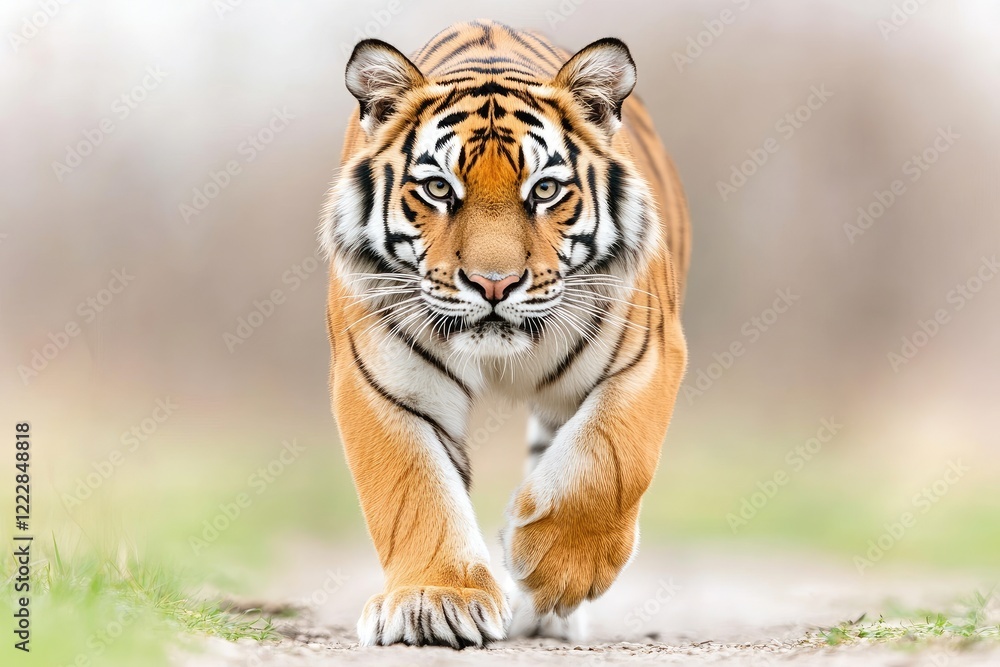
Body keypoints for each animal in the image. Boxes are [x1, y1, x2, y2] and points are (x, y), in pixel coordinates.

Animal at [321, 20, 689, 648]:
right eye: (438, 189)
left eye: (543, 191)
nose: (494, 284)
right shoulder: (381, 380)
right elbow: (412, 489)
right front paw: (435, 600)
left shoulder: (649, 353)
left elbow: (611, 458)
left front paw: (555, 566)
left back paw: (547, 611)